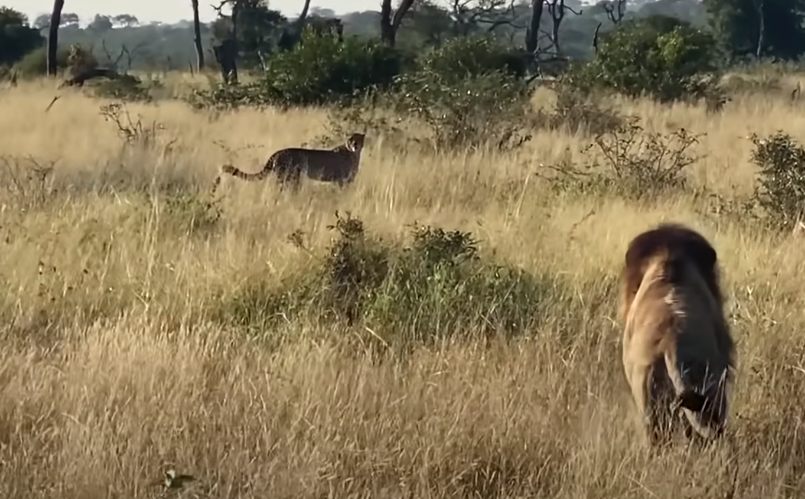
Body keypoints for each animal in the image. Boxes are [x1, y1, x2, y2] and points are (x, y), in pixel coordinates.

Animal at [214, 133, 364, 191]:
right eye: (351, 139)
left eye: (358, 139)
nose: (355, 144)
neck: (353, 154)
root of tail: (278, 152)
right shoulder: (341, 181)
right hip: (289, 177)